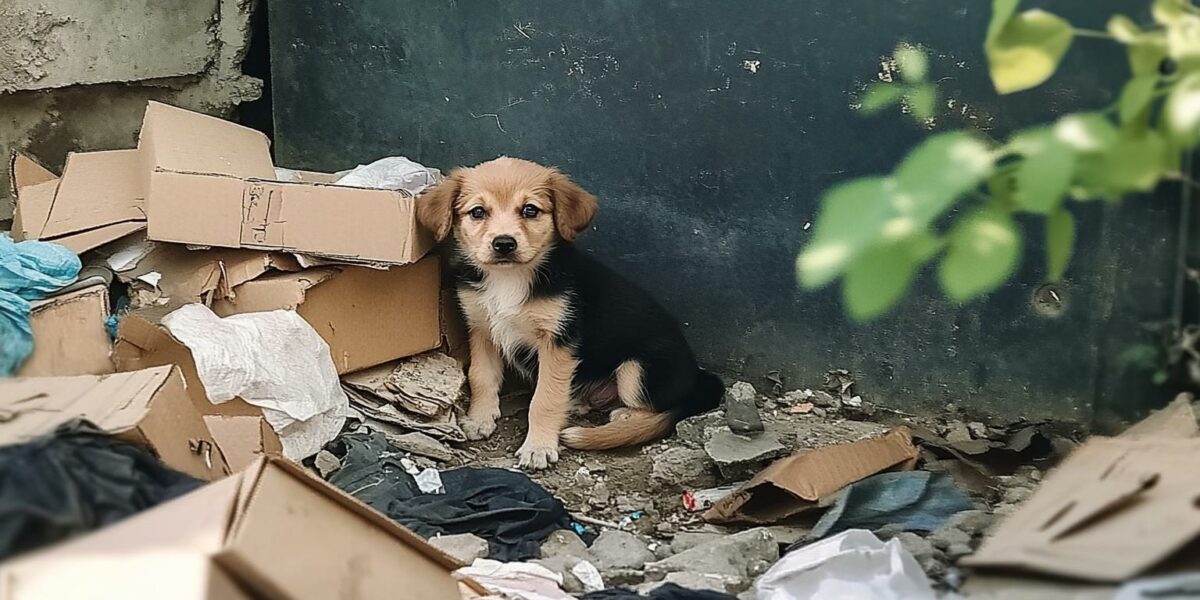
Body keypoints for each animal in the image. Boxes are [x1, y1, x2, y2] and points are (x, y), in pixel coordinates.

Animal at [417, 156, 724, 468]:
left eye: (530, 210)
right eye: (478, 212)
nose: (504, 244)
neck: (509, 278)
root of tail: (699, 376)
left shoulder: (558, 342)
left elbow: (545, 399)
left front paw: (538, 447)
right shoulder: (482, 329)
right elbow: (481, 376)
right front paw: (479, 419)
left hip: (638, 370)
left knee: (661, 404)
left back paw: (624, 416)